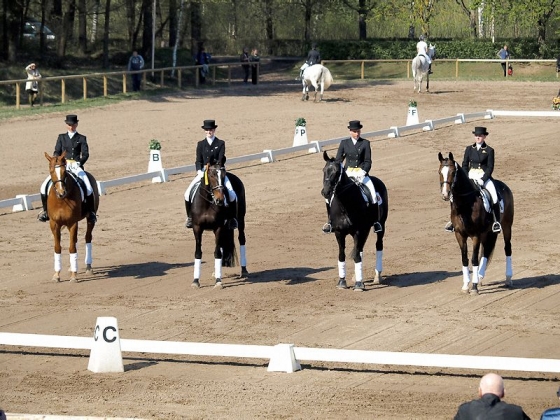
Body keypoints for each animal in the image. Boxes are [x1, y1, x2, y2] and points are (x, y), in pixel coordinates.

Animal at [45, 151, 100, 282]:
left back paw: (88, 267)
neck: (61, 201)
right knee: (75, 241)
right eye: (51, 171)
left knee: (87, 238)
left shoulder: (72, 223)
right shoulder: (54, 224)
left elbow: (71, 248)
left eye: (64, 172)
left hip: (90, 219)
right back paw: (71, 267)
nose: (61, 193)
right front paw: (57, 274)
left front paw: (74, 276)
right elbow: (58, 247)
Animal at [322, 151, 388, 292]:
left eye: (336, 172)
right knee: (360, 249)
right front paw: (342, 281)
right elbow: (342, 255)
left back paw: (377, 276)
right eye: (324, 170)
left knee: (378, 245)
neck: (345, 205)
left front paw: (359, 284)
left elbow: (357, 256)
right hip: (365, 229)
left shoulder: (358, 231)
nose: (326, 192)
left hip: (381, 226)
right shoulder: (339, 233)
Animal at [440, 152, 516, 296]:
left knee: (507, 248)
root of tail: (504, 186)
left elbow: (474, 259)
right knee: (486, 250)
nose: (445, 194)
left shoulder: (476, 235)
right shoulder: (460, 235)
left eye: (452, 172)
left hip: (506, 225)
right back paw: (480, 277)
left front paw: (474, 287)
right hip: (489, 232)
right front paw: (466, 286)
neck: (465, 205)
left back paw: (508, 278)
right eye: (440, 172)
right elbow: (465, 259)